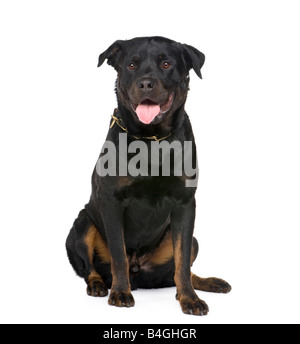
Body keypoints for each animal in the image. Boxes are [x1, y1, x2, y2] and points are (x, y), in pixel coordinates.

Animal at [65, 36, 231, 316]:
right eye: (131, 65)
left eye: (166, 64)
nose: (145, 83)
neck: (152, 139)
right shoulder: (111, 201)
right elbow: (118, 255)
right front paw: (120, 292)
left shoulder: (185, 203)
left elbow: (182, 261)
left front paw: (190, 299)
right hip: (81, 225)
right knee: (90, 268)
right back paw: (98, 285)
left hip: (192, 240)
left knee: (178, 270)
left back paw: (208, 282)